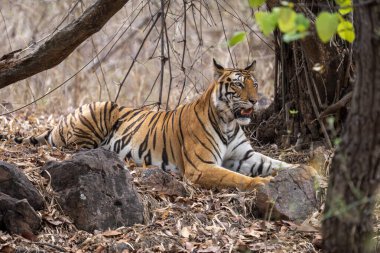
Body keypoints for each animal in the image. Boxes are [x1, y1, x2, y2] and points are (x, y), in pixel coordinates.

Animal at [15, 59, 294, 190]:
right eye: (237, 85)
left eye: (254, 84)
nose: (255, 100)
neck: (228, 121)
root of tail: (64, 120)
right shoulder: (201, 166)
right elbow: (236, 177)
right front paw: (262, 183)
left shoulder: (246, 155)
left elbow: (278, 163)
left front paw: (302, 172)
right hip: (98, 110)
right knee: (74, 147)